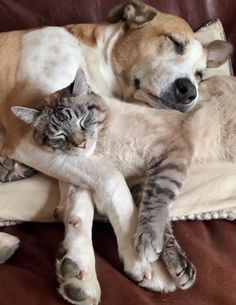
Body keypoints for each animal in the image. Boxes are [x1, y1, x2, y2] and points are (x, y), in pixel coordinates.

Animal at [0, 0, 232, 302]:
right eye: (174, 42)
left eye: (200, 74)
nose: (189, 90)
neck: (94, 62)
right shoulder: (28, 139)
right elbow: (112, 180)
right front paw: (141, 257)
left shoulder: (76, 149)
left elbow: (79, 202)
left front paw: (79, 264)